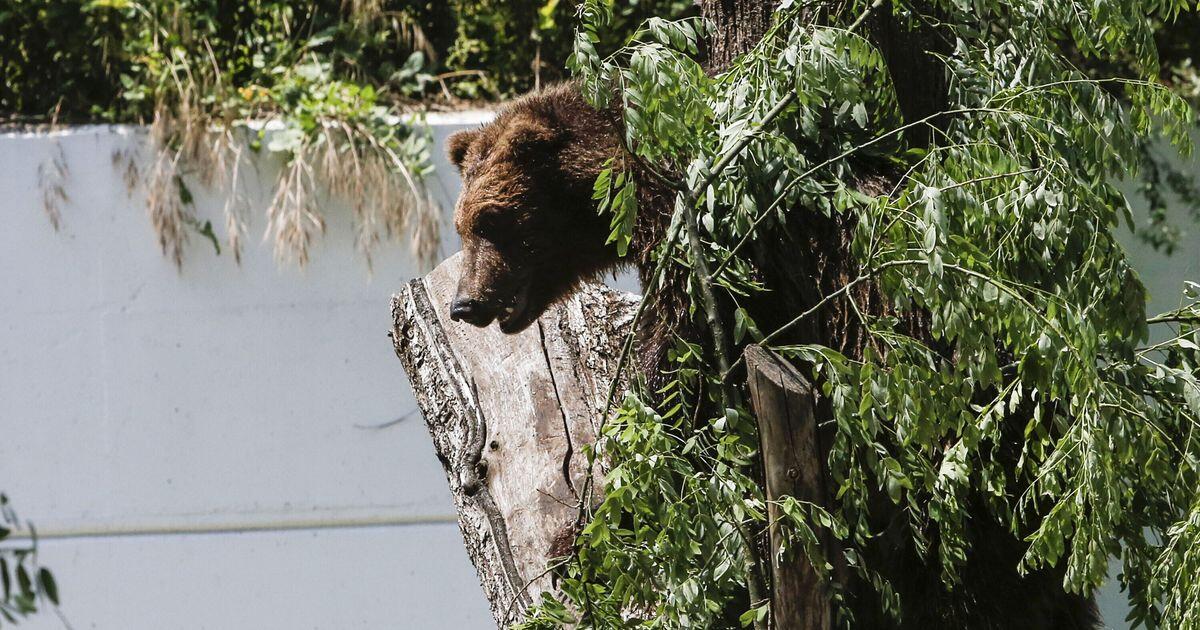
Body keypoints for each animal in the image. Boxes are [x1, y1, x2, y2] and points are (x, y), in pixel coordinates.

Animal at [444, 82, 1099, 629]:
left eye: (494, 219)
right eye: (463, 225)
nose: (464, 304)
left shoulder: (728, 258)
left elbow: (681, 370)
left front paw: (588, 529)